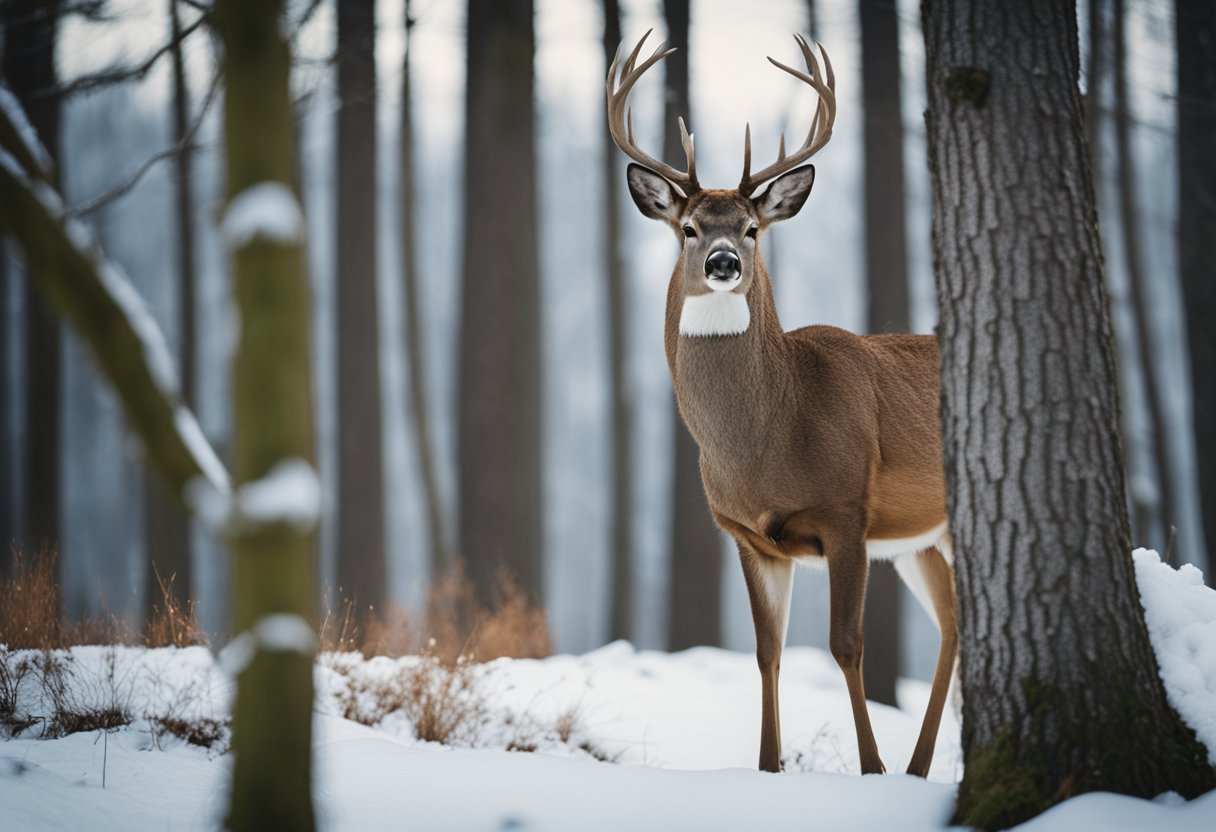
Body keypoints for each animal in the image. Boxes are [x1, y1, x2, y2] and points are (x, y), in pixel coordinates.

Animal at [608, 30, 958, 773]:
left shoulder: (847, 513)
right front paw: (769, 767)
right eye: (688, 227)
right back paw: (919, 767)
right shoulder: (747, 534)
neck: (771, 436)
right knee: (955, 623)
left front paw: (871, 769)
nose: (722, 262)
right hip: (923, 538)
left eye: (751, 228)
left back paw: (910, 768)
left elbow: (846, 644)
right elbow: (766, 651)